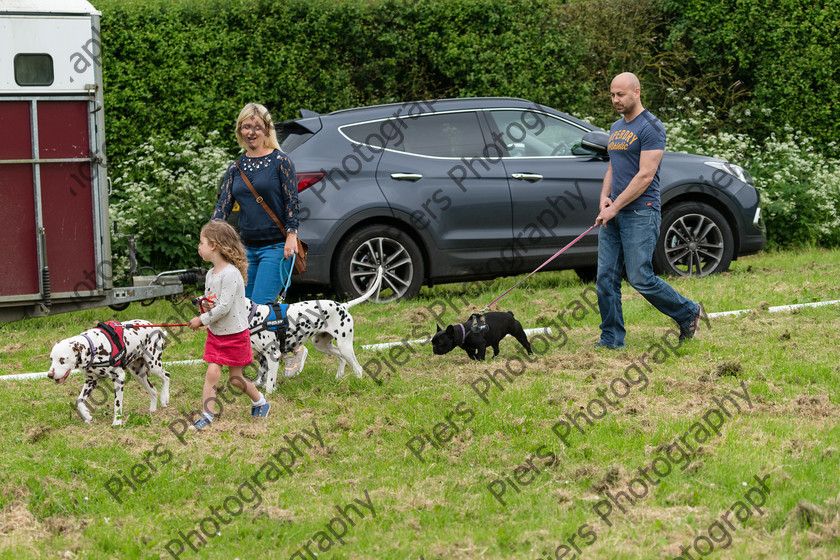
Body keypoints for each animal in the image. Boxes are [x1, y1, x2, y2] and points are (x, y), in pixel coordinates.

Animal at [248, 264, 382, 392]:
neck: (255, 316)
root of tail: (343, 305)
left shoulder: (274, 355)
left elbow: (270, 383)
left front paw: (269, 394)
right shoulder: (263, 357)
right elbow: (262, 377)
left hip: (345, 346)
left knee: (358, 368)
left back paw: (358, 384)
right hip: (322, 345)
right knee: (342, 358)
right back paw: (338, 378)